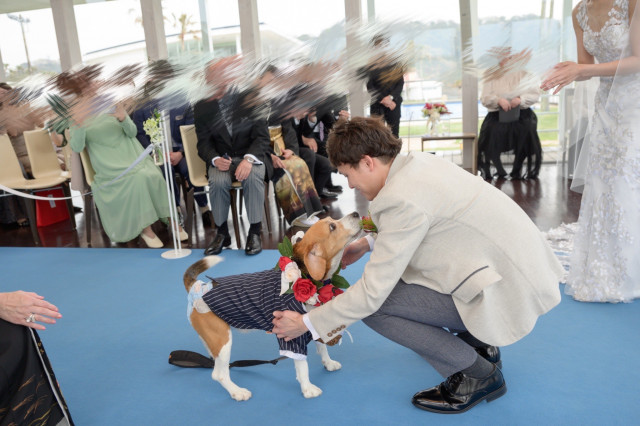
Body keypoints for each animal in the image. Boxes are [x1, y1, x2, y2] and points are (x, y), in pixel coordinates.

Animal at [182, 211, 362, 402]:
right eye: (332, 227)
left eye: (332, 220)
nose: (356, 213)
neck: (308, 279)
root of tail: (198, 286)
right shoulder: (291, 337)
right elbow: (302, 366)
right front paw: (307, 389)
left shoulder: (311, 323)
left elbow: (322, 347)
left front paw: (328, 363)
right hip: (223, 340)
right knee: (219, 374)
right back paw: (237, 391)